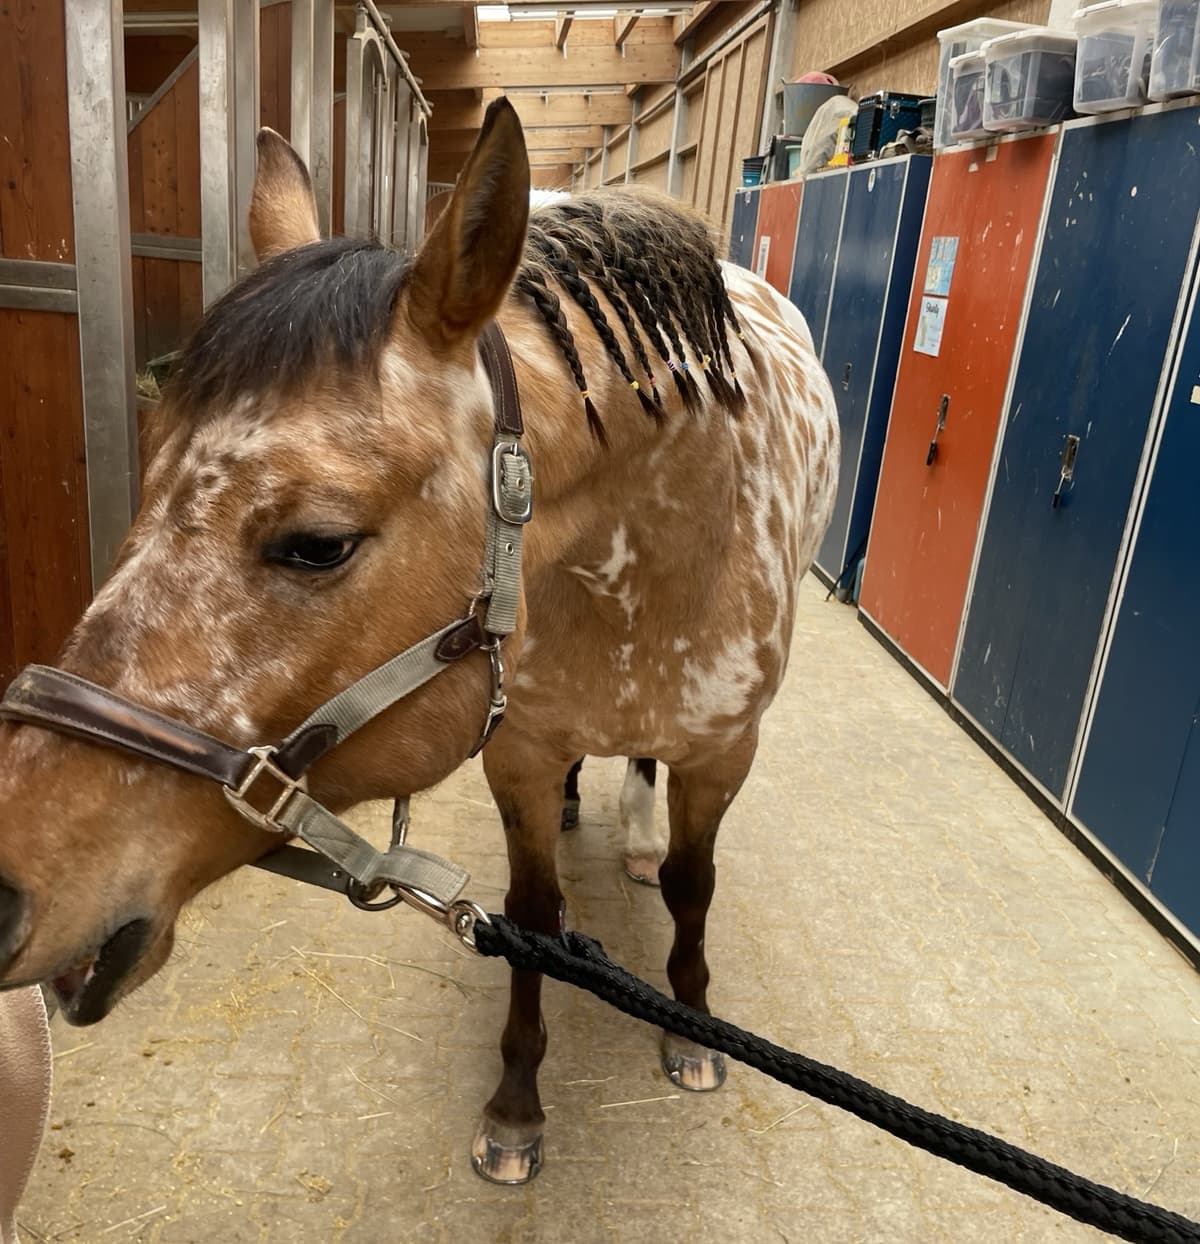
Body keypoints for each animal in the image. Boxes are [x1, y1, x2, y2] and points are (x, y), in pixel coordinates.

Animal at [0, 98, 838, 1186]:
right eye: (146, 489)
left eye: (317, 543)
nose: (1, 892)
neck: (652, 568)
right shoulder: (519, 749)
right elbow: (532, 919)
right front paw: (516, 1106)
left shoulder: (723, 752)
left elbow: (693, 885)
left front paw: (691, 1025)